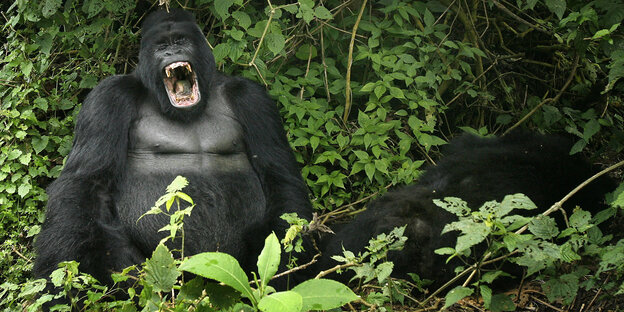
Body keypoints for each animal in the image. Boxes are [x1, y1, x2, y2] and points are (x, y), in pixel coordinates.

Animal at [34, 7, 312, 286]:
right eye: (161, 47)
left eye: (180, 41)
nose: (172, 53)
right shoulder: (108, 96)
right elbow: (86, 183)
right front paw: (61, 276)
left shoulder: (252, 99)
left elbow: (280, 180)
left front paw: (288, 267)